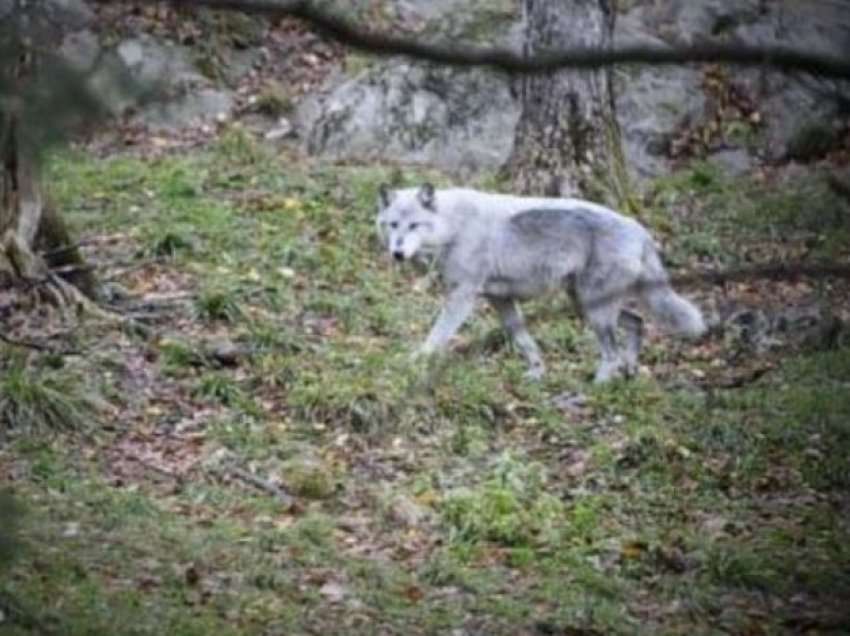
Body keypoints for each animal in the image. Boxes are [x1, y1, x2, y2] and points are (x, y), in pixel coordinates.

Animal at [374, 184, 704, 382]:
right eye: (393, 225)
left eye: (414, 226)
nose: (397, 253)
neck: (454, 227)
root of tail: (640, 229)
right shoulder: (500, 300)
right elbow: (523, 339)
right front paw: (536, 372)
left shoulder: (462, 297)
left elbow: (436, 337)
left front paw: (415, 362)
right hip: (583, 304)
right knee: (637, 323)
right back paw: (631, 371)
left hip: (593, 311)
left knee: (611, 353)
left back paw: (598, 385)